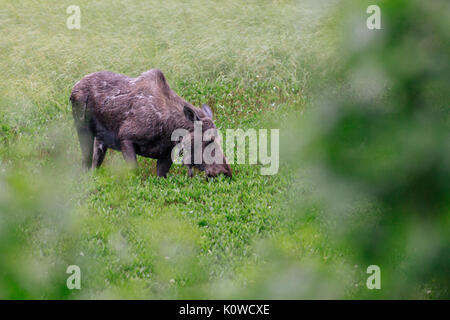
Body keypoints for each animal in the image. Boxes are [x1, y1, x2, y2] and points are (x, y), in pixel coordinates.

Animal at [71, 69, 234, 179]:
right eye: (208, 140)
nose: (226, 172)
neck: (169, 130)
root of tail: (73, 88)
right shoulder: (125, 137)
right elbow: (134, 172)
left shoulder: (166, 156)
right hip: (83, 130)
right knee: (85, 163)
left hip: (100, 141)